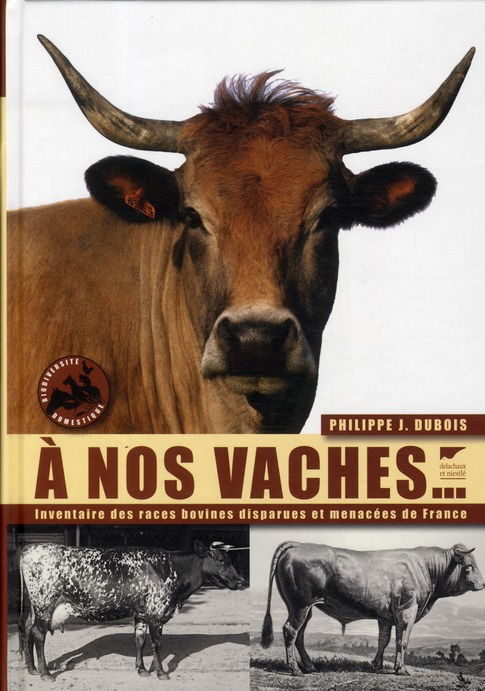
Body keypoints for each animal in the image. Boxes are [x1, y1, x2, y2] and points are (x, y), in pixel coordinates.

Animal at [19, 540, 245, 682]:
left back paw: (31, 669)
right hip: (44, 604)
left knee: (28, 629)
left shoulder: (142, 614)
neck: (170, 569)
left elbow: (140, 641)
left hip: (35, 608)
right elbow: (156, 644)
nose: (241, 581)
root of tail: (29, 549)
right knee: (38, 634)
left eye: (231, 560)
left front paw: (142, 670)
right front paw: (161, 673)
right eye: (220, 560)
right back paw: (45, 673)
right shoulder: (156, 613)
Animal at [261, 541, 484, 676]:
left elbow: (383, 640)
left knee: (299, 634)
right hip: (300, 605)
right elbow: (402, 641)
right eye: (469, 566)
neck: (426, 568)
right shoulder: (407, 609)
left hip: (304, 608)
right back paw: (294, 669)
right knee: (291, 630)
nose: (482, 584)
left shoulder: (385, 616)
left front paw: (377, 666)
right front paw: (401, 669)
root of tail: (298, 545)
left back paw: (309, 666)